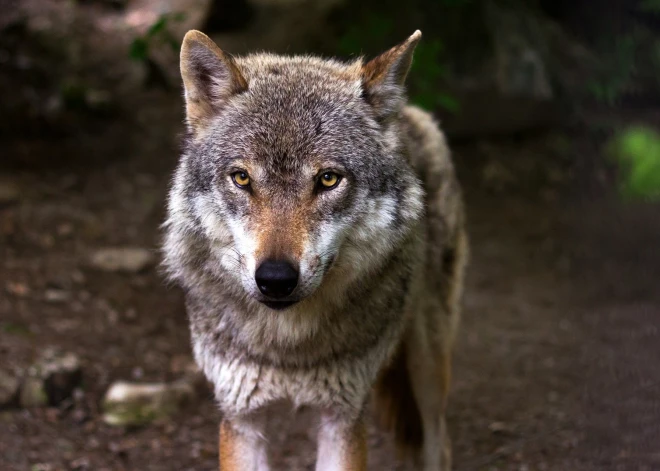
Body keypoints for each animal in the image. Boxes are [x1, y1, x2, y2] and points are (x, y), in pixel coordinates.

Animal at [162, 29, 466, 471]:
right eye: (241, 178)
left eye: (327, 179)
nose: (275, 279)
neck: (288, 347)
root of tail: (408, 113)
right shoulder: (241, 418)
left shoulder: (342, 417)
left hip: (428, 366)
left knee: (439, 442)